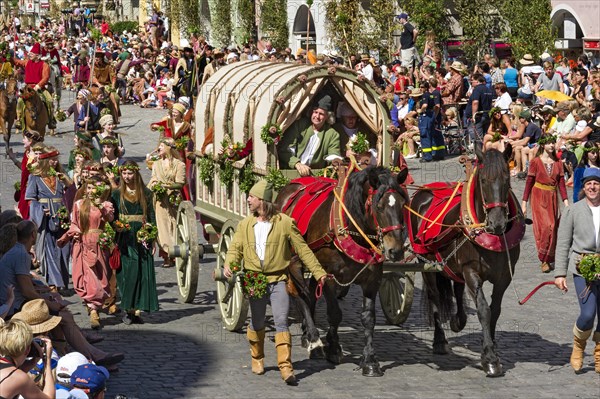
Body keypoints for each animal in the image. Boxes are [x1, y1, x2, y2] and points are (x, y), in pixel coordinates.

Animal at [276, 166, 408, 378]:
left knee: (309, 293)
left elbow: (368, 318)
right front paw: (333, 348)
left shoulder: (373, 280)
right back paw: (314, 339)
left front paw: (369, 361)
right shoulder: (330, 276)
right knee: (297, 293)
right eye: (379, 207)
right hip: (293, 261)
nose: (395, 251)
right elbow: (335, 313)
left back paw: (307, 333)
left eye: (403, 204)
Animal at [408, 148, 524, 376]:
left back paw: (457, 321)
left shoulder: (504, 276)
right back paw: (440, 341)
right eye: (484, 180)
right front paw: (489, 358)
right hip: (425, 262)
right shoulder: (471, 270)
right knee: (435, 297)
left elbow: (495, 310)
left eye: (507, 179)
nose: (497, 223)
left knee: (458, 290)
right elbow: (484, 310)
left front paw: (492, 347)